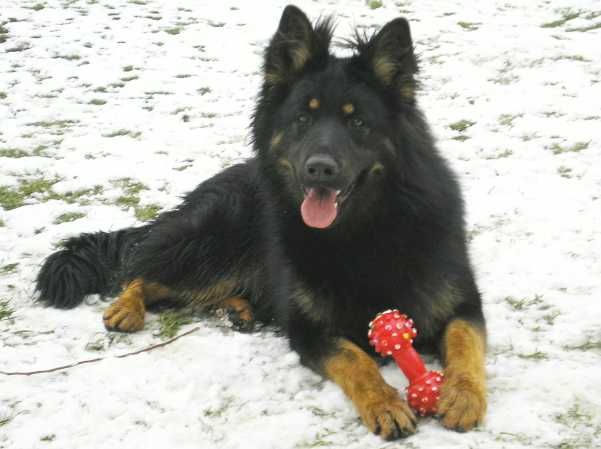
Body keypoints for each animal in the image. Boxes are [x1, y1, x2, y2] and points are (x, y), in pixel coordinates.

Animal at [36, 5, 487, 440]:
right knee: (144, 272)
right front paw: (385, 403)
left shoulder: (463, 304)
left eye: (357, 122)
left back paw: (237, 309)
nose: (319, 170)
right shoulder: (308, 330)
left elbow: (465, 342)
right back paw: (127, 306)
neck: (361, 231)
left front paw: (463, 395)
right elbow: (355, 359)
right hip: (213, 245)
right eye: (303, 119)